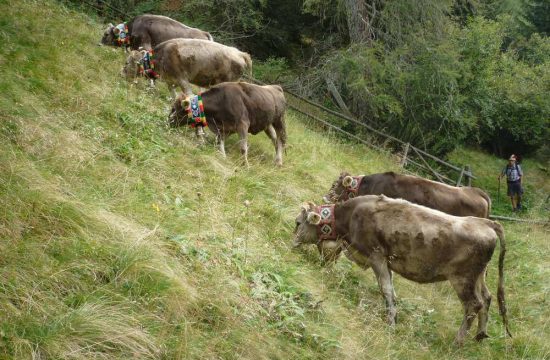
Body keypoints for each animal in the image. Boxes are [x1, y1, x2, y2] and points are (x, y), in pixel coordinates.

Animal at [122, 38, 252, 96]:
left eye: (127, 63)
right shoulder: (171, 81)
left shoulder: (182, 79)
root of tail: (240, 53)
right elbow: (173, 95)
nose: (121, 73)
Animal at [296, 195, 516, 344]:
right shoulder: (386, 261)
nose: (293, 244)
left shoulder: (377, 256)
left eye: (297, 223)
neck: (353, 215)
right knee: (487, 298)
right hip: (479, 276)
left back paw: (458, 341)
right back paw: (480, 334)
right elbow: (391, 290)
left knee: (474, 304)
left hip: (463, 278)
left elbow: (386, 290)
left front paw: (391, 323)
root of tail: (484, 222)